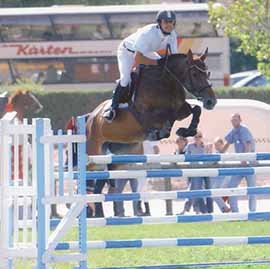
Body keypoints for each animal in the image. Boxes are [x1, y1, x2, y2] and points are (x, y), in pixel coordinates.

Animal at [86, 49, 217, 156]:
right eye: (194, 74)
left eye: (207, 73)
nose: (211, 101)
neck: (165, 83)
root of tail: (91, 116)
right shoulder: (149, 115)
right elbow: (169, 116)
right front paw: (159, 133)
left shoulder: (181, 109)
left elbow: (196, 110)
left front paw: (186, 131)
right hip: (94, 148)